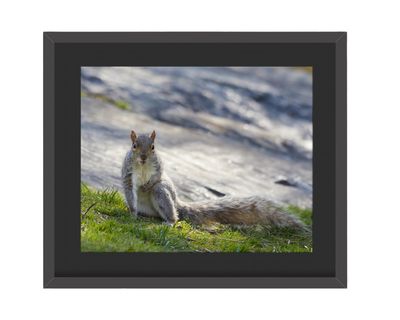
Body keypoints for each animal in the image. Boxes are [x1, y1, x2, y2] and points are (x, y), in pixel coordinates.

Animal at [120, 129, 304, 229]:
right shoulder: (128, 172)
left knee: (171, 211)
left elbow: (158, 176)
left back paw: (170, 222)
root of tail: (177, 202)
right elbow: (129, 189)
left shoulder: (158, 166)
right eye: (134, 146)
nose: (143, 158)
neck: (143, 166)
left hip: (162, 193)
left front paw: (148, 185)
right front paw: (132, 213)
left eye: (153, 147)